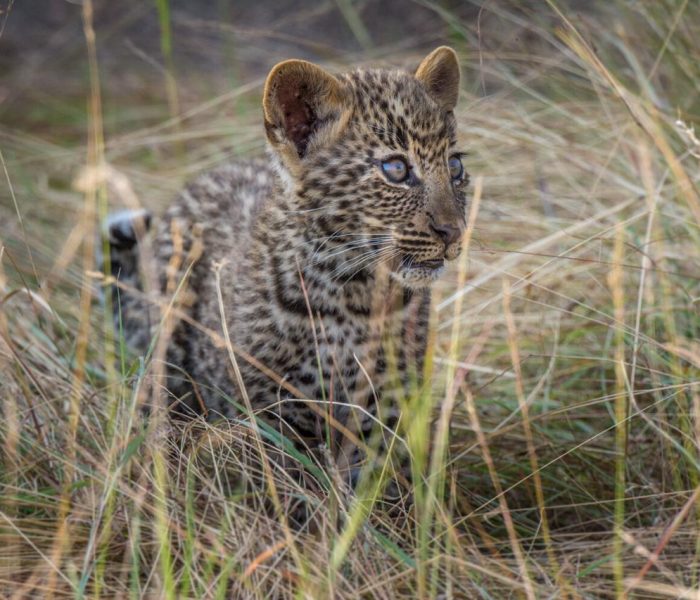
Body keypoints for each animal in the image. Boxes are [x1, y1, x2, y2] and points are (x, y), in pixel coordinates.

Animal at [107, 46, 469, 496]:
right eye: (396, 170)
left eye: (454, 166)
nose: (453, 232)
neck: (354, 293)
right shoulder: (276, 411)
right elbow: (292, 489)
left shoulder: (387, 407)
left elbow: (374, 488)